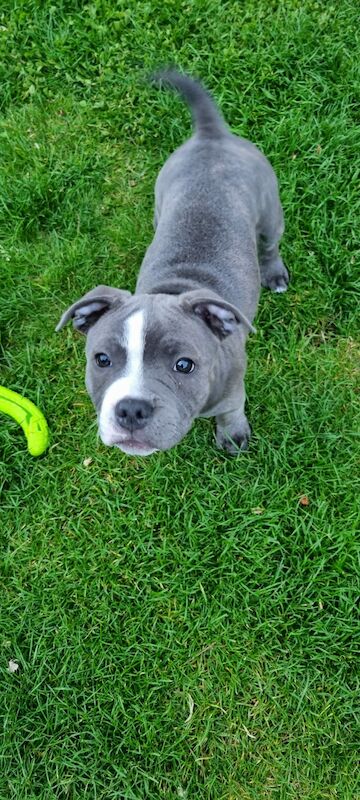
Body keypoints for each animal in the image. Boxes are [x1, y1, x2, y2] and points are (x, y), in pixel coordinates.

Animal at [58, 72, 290, 456]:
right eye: (101, 359)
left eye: (184, 365)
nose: (131, 409)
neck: (174, 288)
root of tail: (211, 135)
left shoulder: (233, 390)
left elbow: (231, 411)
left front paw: (233, 436)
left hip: (271, 213)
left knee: (270, 246)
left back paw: (275, 274)